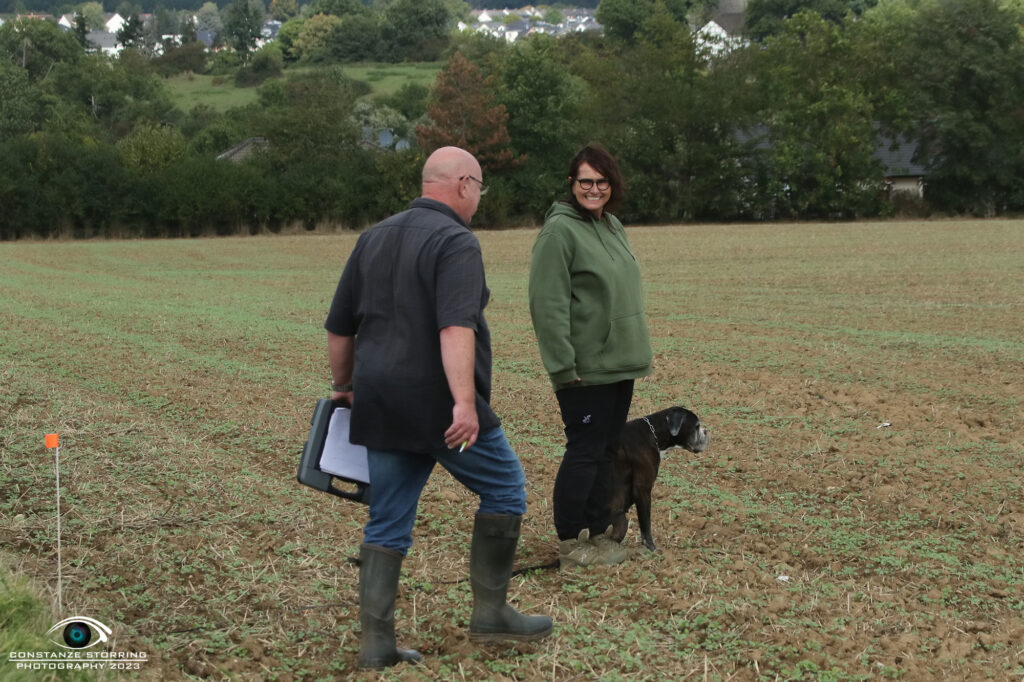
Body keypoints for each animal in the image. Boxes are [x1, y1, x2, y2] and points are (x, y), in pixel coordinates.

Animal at [602, 405, 708, 548]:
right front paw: (651, 547)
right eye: (696, 426)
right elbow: (646, 523)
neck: (654, 433)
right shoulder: (643, 489)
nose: (706, 431)